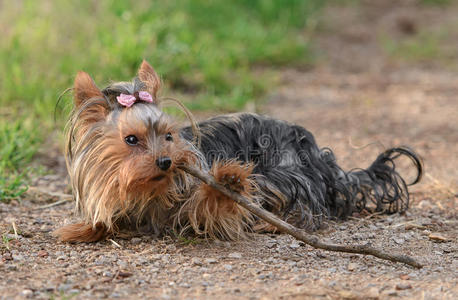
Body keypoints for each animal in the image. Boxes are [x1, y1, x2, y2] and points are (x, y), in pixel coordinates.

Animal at [55, 60, 424, 241]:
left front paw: (228, 183)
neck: (147, 190)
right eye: (131, 140)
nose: (166, 162)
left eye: (169, 136)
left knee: (307, 210)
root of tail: (319, 155)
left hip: (280, 174)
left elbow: (208, 207)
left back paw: (272, 223)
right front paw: (82, 230)